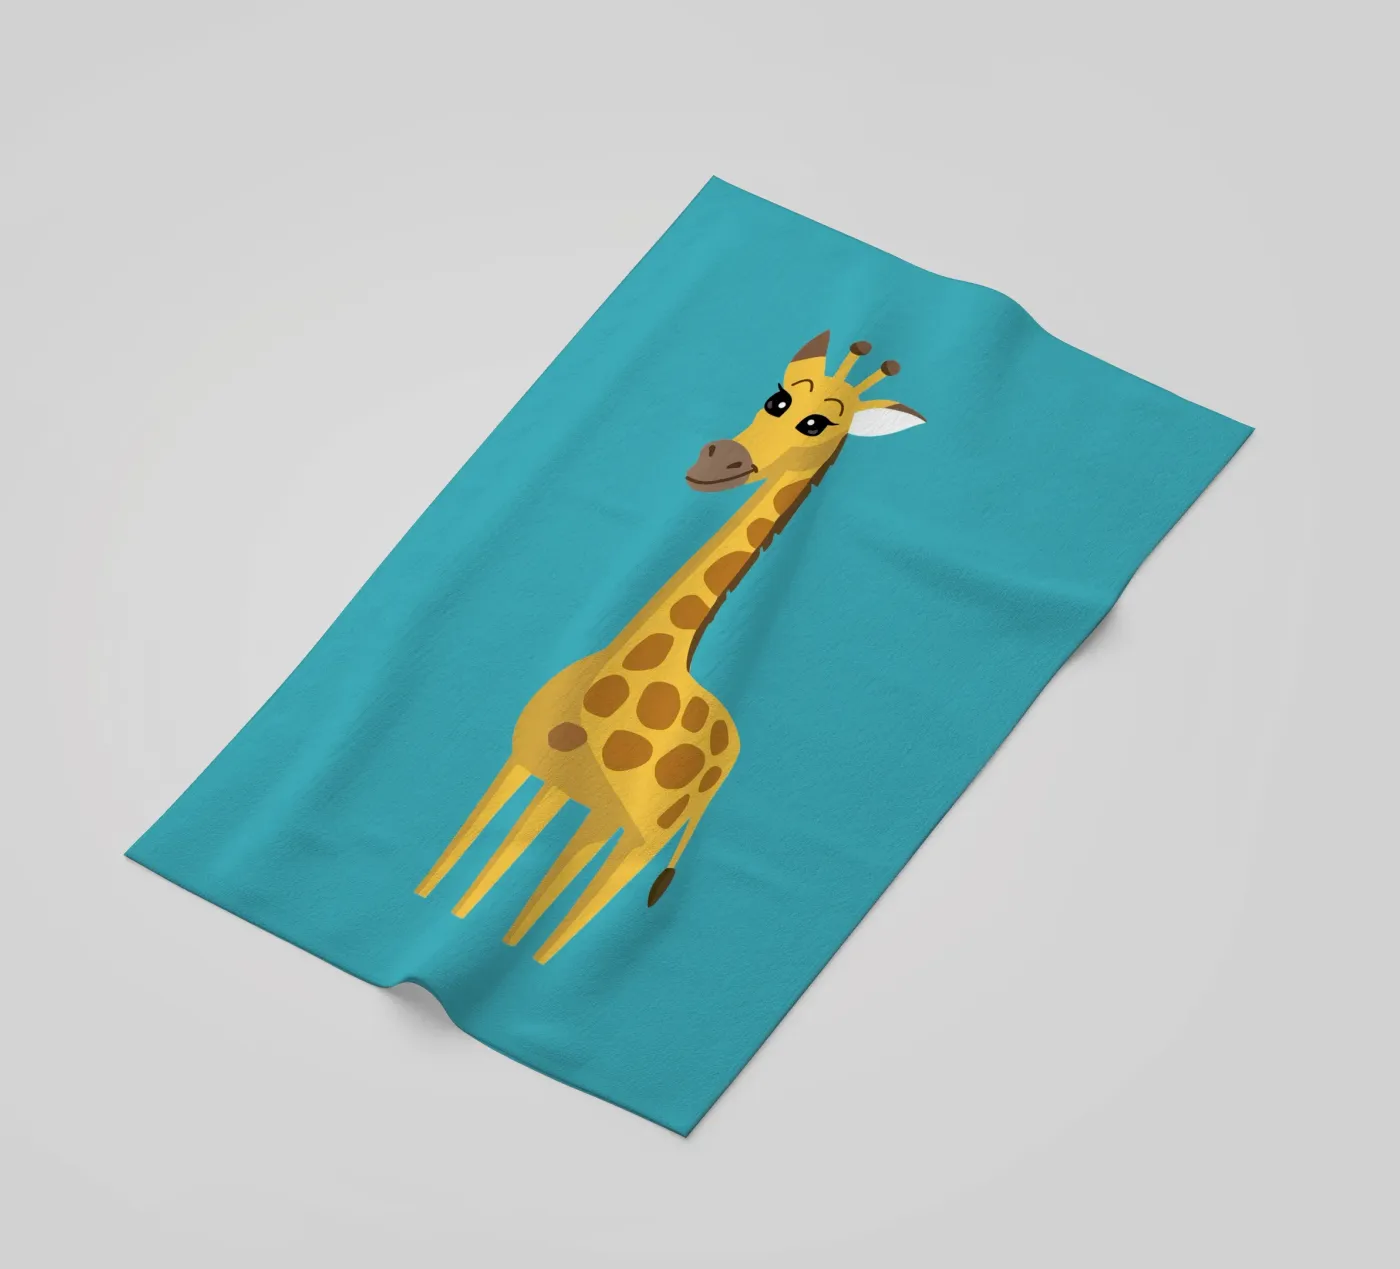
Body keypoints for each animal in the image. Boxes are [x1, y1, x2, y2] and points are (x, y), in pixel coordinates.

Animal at [415, 331, 926, 962]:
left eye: (817, 422)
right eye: (777, 399)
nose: (719, 459)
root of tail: (730, 748)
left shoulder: (610, 820)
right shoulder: (527, 769)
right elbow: (466, 858)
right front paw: (432, 909)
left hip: (641, 840)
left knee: (573, 919)